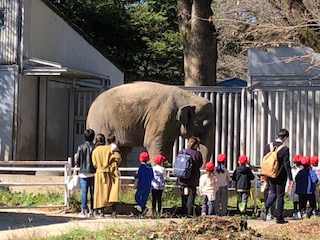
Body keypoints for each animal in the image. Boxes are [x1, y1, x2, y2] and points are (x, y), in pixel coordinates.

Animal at [86, 81, 214, 166]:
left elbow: (167, 146)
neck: (187, 96)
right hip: (100, 124)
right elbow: (151, 142)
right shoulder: (160, 114)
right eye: (203, 124)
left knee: (124, 150)